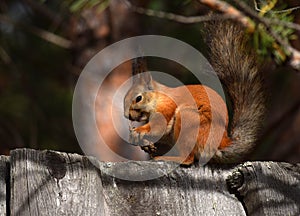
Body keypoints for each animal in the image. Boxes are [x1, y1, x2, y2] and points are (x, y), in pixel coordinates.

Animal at [123, 20, 264, 165]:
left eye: (138, 98)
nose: (127, 116)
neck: (158, 97)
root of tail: (221, 144)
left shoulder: (166, 106)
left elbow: (158, 127)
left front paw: (138, 131)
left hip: (188, 120)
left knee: (188, 158)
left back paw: (167, 158)